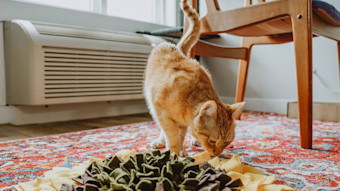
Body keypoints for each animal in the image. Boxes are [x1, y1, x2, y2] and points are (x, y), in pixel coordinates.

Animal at [143, 0, 244, 156]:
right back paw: (161, 141)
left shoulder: (182, 124)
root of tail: (177, 48)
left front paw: (180, 150)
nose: (216, 154)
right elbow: (171, 134)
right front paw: (174, 152)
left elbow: (180, 135)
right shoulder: (162, 114)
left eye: (227, 142)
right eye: (212, 141)